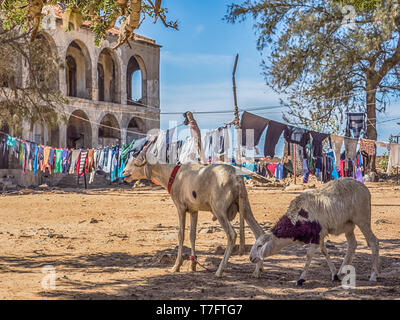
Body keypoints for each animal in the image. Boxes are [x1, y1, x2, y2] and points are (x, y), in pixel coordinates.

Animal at [122, 144, 266, 276]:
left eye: (136, 162)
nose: (123, 172)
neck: (173, 174)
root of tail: (236, 177)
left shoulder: (180, 208)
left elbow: (181, 235)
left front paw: (177, 265)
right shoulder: (193, 210)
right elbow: (192, 235)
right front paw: (192, 264)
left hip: (219, 210)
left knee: (232, 235)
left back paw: (220, 270)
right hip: (245, 206)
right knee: (259, 232)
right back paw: (257, 270)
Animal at [250, 178, 378, 284]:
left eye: (260, 245)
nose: (251, 258)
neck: (297, 217)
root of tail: (364, 187)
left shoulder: (317, 235)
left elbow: (309, 255)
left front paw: (301, 279)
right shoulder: (319, 235)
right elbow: (324, 252)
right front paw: (334, 274)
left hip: (362, 219)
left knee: (373, 242)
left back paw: (373, 275)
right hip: (349, 225)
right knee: (352, 244)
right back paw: (342, 272)